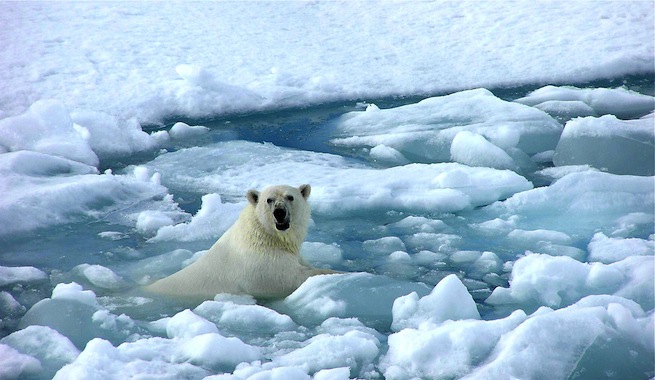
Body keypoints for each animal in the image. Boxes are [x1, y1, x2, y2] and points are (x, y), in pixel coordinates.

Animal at [145, 184, 336, 300]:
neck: (266, 237)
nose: (279, 212)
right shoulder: (262, 265)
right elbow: (292, 278)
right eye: (269, 200)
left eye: (290, 197)